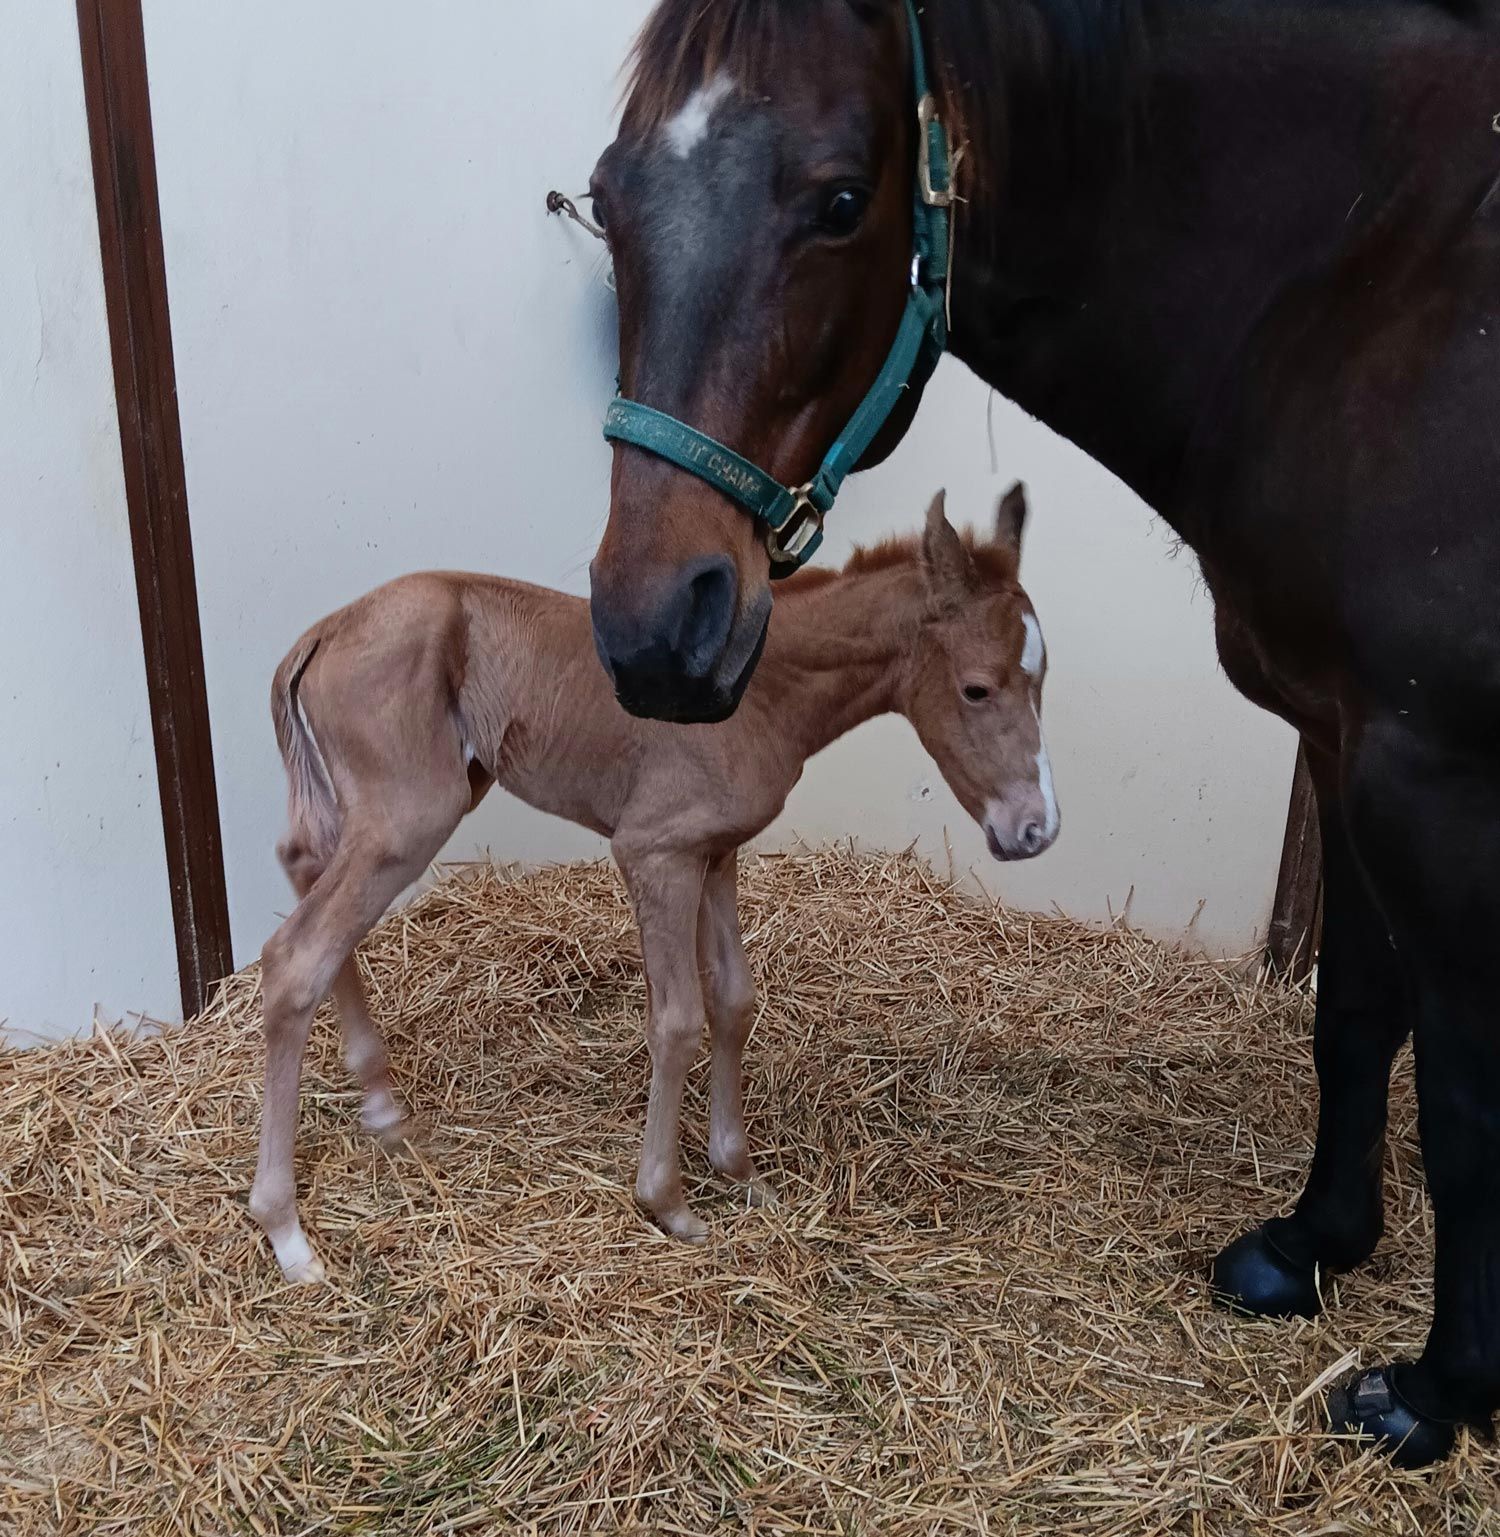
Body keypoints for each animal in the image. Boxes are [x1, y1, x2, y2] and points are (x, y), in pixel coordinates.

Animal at [249, 488, 1059, 1283]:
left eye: (1042, 681)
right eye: (977, 688)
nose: (1036, 829)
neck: (764, 688)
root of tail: (318, 635)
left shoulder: (715, 854)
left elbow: (734, 998)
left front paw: (740, 1169)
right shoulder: (655, 851)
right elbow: (677, 1019)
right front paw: (667, 1201)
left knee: (301, 869)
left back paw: (381, 1106)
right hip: (410, 815)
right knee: (296, 956)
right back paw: (287, 1231)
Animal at [580, 0, 1500, 1466]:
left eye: (842, 202)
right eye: (605, 199)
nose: (654, 632)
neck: (1365, 279)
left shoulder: (1438, 778)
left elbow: (1467, 1104)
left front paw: (1439, 1391)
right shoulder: (1350, 739)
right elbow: (1357, 1012)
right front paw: (1309, 1249)